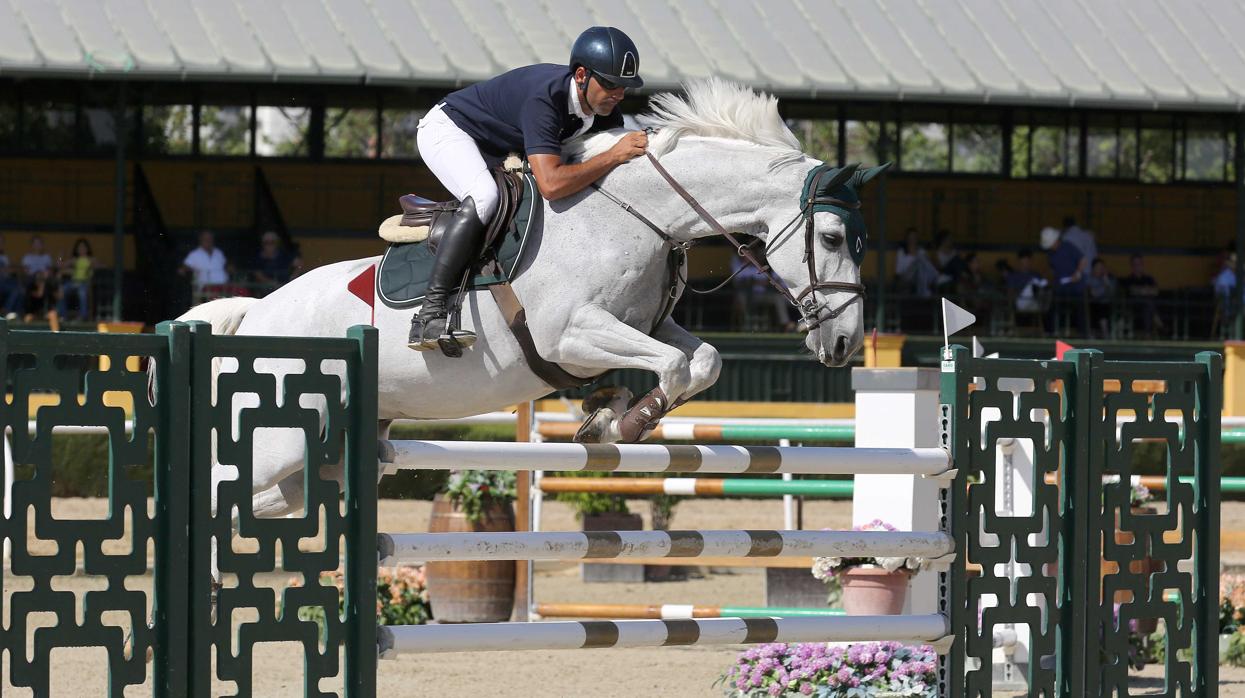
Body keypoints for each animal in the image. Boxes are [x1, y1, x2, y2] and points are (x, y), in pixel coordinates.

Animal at [181, 79, 886, 572]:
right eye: (831, 238)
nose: (843, 343)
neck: (637, 213)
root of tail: (256, 313)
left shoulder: (647, 323)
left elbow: (702, 358)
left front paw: (611, 412)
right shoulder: (570, 333)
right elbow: (672, 364)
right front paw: (624, 421)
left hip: (322, 457)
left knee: (262, 504)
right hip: (278, 438)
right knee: (217, 495)